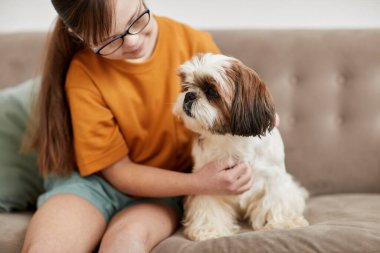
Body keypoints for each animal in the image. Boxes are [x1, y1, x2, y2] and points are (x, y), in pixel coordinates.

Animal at [172, 53, 308, 241]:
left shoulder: (274, 178)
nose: (189, 95)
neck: (230, 138)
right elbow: (208, 206)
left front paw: (282, 222)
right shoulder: (208, 182)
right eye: (186, 85)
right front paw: (209, 230)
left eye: (211, 91)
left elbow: (276, 200)